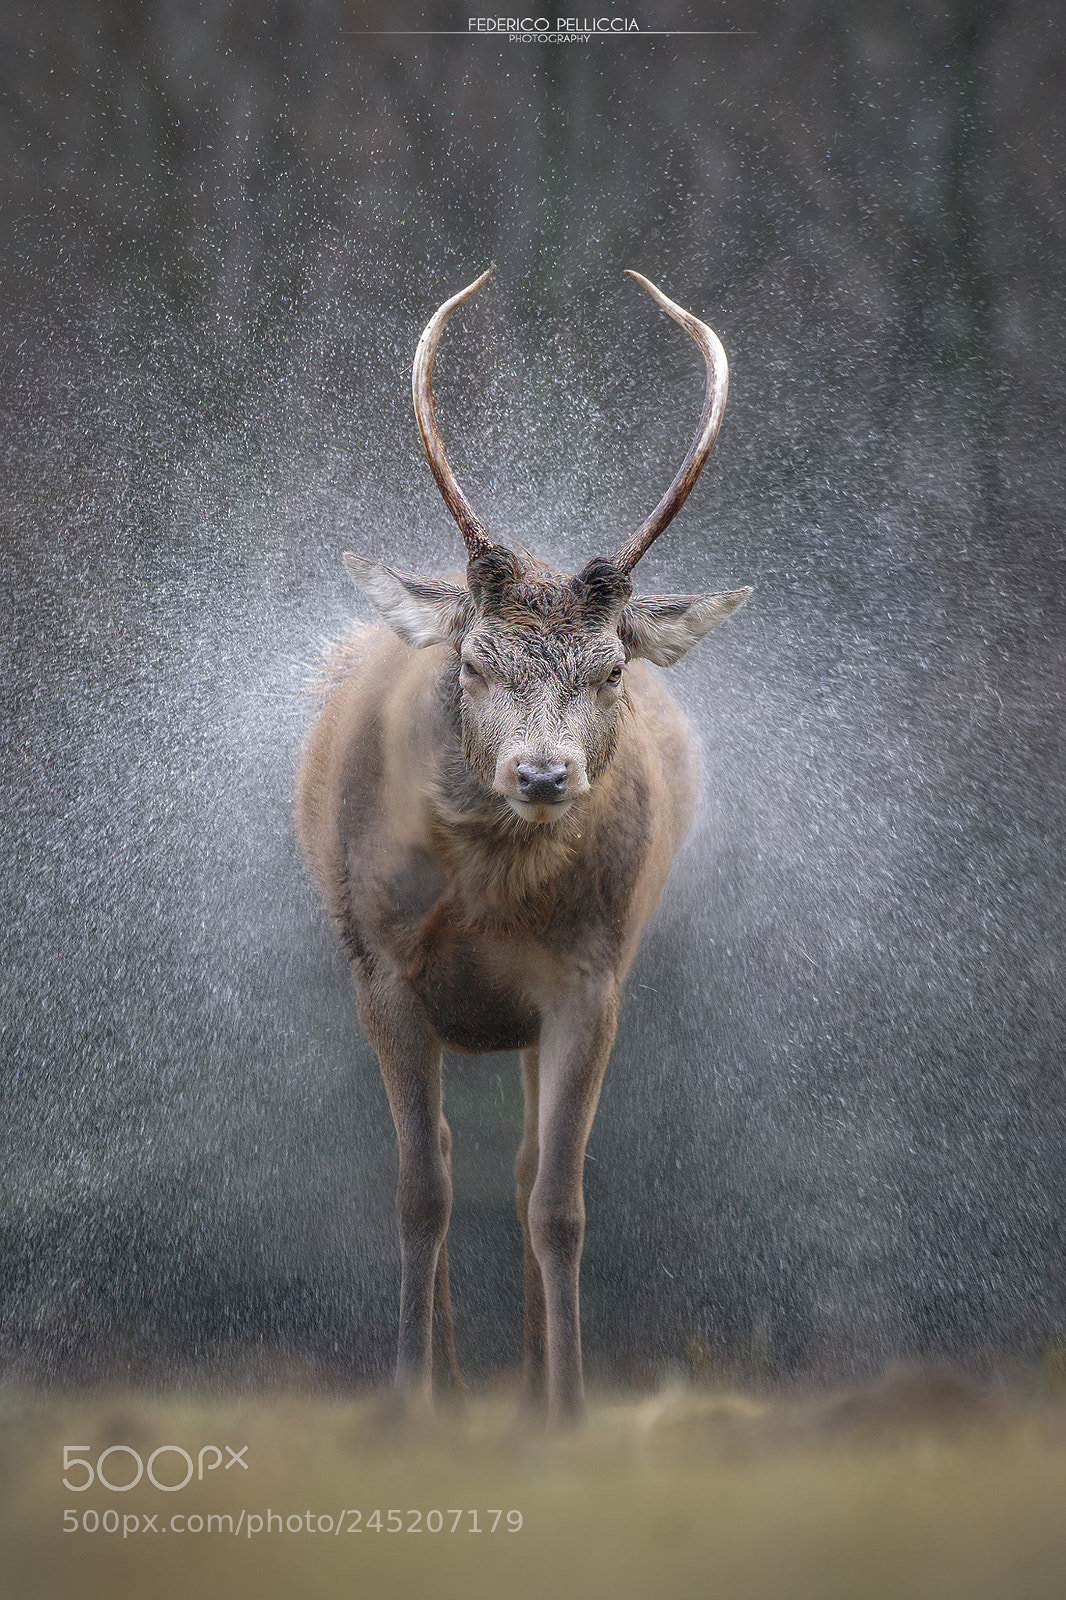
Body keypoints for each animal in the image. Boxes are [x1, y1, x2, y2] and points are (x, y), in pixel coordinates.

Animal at [296, 267, 751, 1427]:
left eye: (611, 669)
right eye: (472, 662)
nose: (543, 776)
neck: (489, 896)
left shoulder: (592, 979)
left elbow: (557, 1199)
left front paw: (570, 1407)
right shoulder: (379, 967)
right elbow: (419, 1190)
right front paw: (408, 1392)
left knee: (518, 1166)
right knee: (451, 1159)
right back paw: (453, 1384)